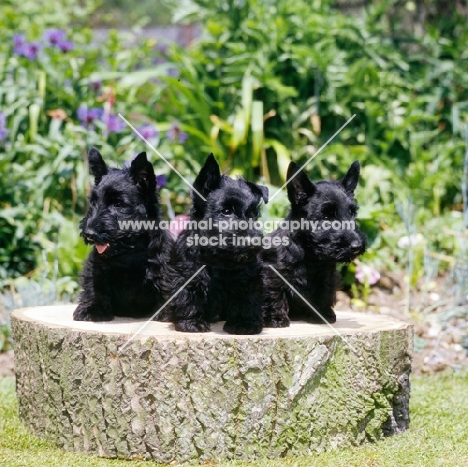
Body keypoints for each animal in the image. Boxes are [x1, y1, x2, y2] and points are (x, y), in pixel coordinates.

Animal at [74, 149, 173, 322]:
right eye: (92, 202)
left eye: (119, 203)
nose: (89, 234)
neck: (130, 253)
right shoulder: (96, 268)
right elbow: (95, 287)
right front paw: (92, 309)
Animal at [164, 155, 266, 334]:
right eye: (226, 211)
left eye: (254, 214)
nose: (253, 242)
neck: (220, 258)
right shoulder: (186, 275)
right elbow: (189, 297)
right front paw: (191, 323)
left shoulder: (248, 279)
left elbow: (246, 300)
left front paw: (245, 323)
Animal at [264, 163, 366, 328]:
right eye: (326, 216)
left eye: (352, 213)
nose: (357, 245)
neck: (310, 255)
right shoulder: (271, 273)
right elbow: (274, 294)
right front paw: (276, 319)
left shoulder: (327, 277)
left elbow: (323, 294)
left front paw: (323, 314)